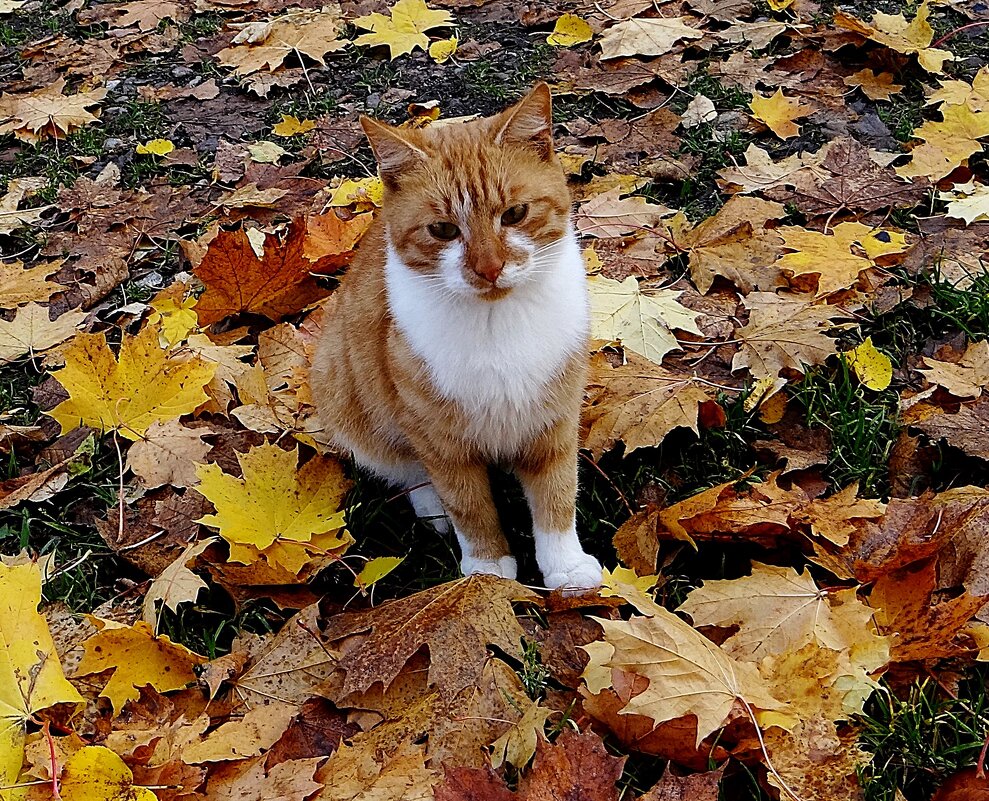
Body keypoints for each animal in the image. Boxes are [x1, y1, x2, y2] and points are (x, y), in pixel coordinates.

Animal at [308, 84, 604, 592]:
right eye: (443, 229)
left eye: (515, 214)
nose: (489, 268)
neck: (496, 324)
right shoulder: (439, 439)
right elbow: (468, 505)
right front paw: (486, 569)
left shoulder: (553, 422)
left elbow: (557, 495)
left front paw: (565, 567)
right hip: (344, 392)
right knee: (406, 469)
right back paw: (432, 509)